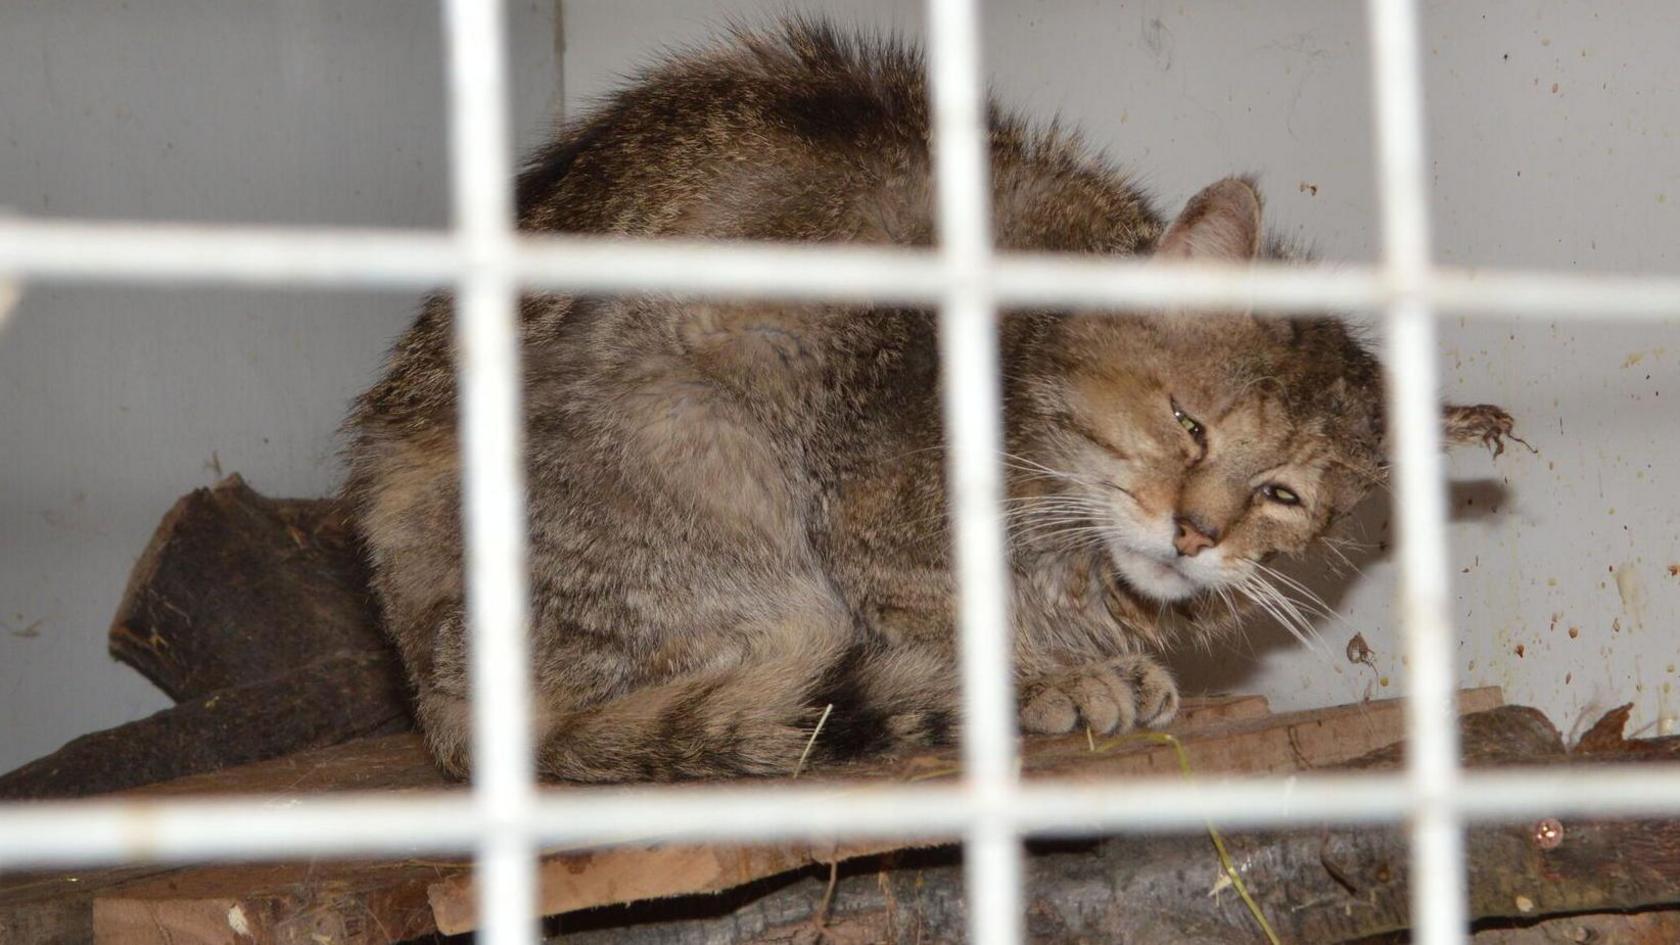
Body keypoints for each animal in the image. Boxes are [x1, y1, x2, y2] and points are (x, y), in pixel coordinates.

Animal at [344, 22, 1525, 780]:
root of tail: (434, 687)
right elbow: (944, 605)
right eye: (1189, 424)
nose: (1196, 533)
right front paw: (1050, 675)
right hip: (695, 439)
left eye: (1282, 495)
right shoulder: (852, 496)